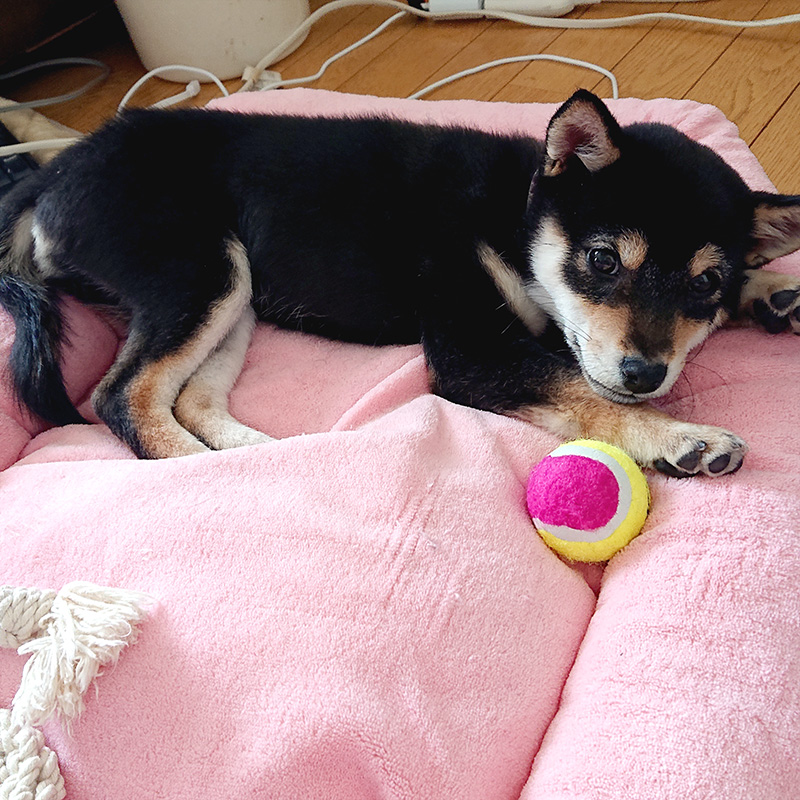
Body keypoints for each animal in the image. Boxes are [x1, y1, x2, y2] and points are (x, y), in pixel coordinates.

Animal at [1, 90, 800, 476]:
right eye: (604, 261)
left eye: (706, 283)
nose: (645, 373)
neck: (513, 211)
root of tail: (50, 176)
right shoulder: (471, 350)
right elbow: (578, 389)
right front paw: (678, 437)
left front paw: (768, 289)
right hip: (206, 272)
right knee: (122, 397)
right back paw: (203, 473)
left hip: (237, 297)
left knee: (189, 397)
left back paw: (255, 455)